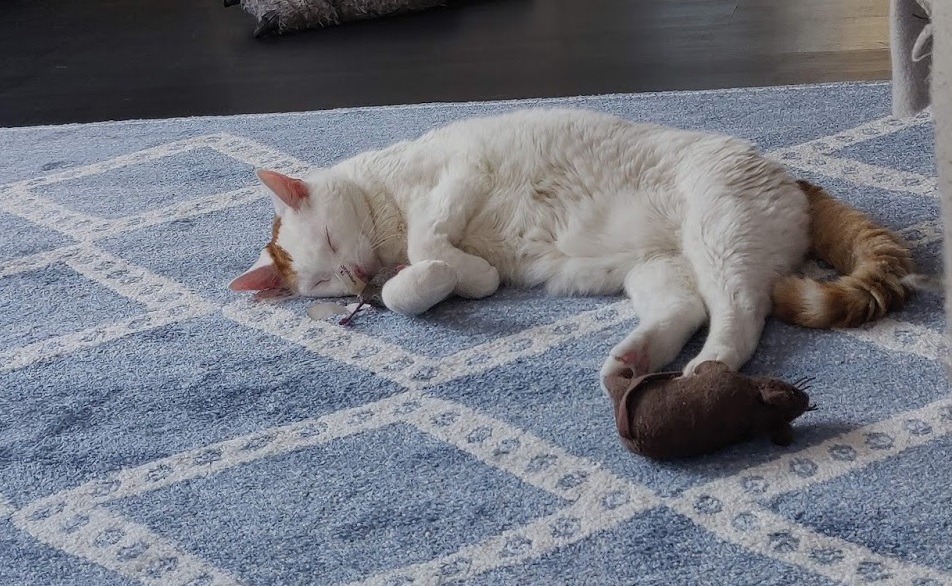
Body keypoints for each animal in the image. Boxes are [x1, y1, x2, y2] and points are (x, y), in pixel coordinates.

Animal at [229, 107, 916, 386]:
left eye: (327, 240)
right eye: (323, 282)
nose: (351, 269)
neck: (386, 210)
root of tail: (792, 177)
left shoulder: (458, 173)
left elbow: (428, 249)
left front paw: (460, 274)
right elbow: (407, 289)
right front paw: (444, 279)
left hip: (720, 236)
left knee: (743, 314)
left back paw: (709, 367)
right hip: (660, 269)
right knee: (687, 310)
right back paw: (633, 361)